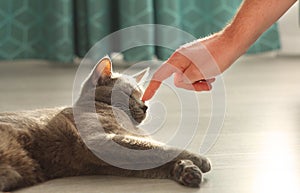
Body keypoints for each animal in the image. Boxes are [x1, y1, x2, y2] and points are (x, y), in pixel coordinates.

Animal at [0, 56, 211, 191]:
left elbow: (154, 155)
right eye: (129, 94)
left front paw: (187, 170)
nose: (145, 106)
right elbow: (160, 148)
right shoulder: (103, 140)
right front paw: (198, 160)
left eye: (141, 95)